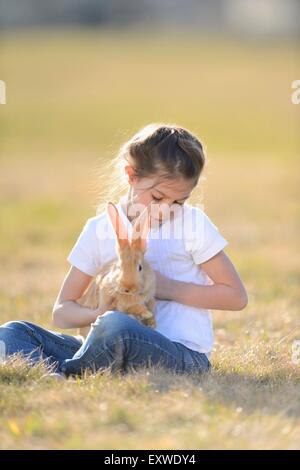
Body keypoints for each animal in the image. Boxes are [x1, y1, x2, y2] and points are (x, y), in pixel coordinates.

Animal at [75, 200, 157, 340]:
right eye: (119, 266)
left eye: (140, 267)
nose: (128, 288)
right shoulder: (121, 303)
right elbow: (134, 307)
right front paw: (146, 314)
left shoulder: (150, 297)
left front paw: (152, 323)